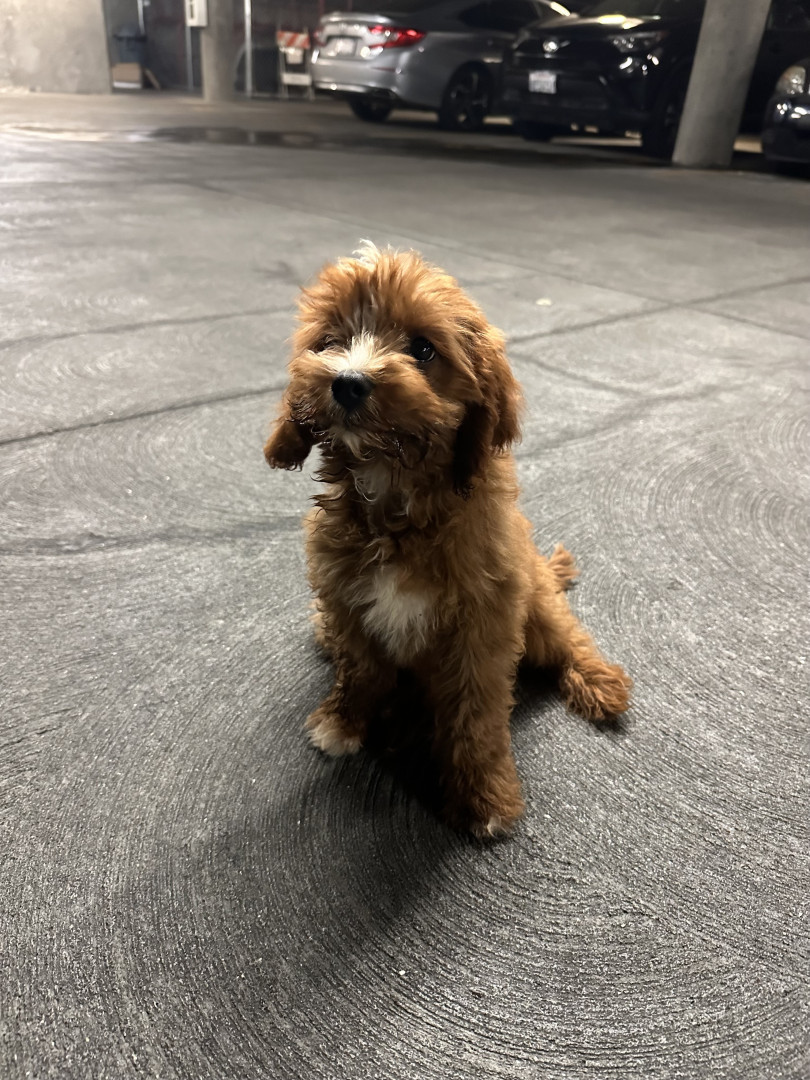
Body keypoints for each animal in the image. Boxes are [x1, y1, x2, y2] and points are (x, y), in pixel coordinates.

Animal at [264, 244, 631, 837]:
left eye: (422, 348)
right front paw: (343, 722)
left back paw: (599, 681)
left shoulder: (483, 626)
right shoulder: (346, 602)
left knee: (569, 638)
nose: (347, 381)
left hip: (537, 606)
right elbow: (358, 670)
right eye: (330, 341)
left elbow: (475, 713)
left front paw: (484, 795)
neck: (395, 496)